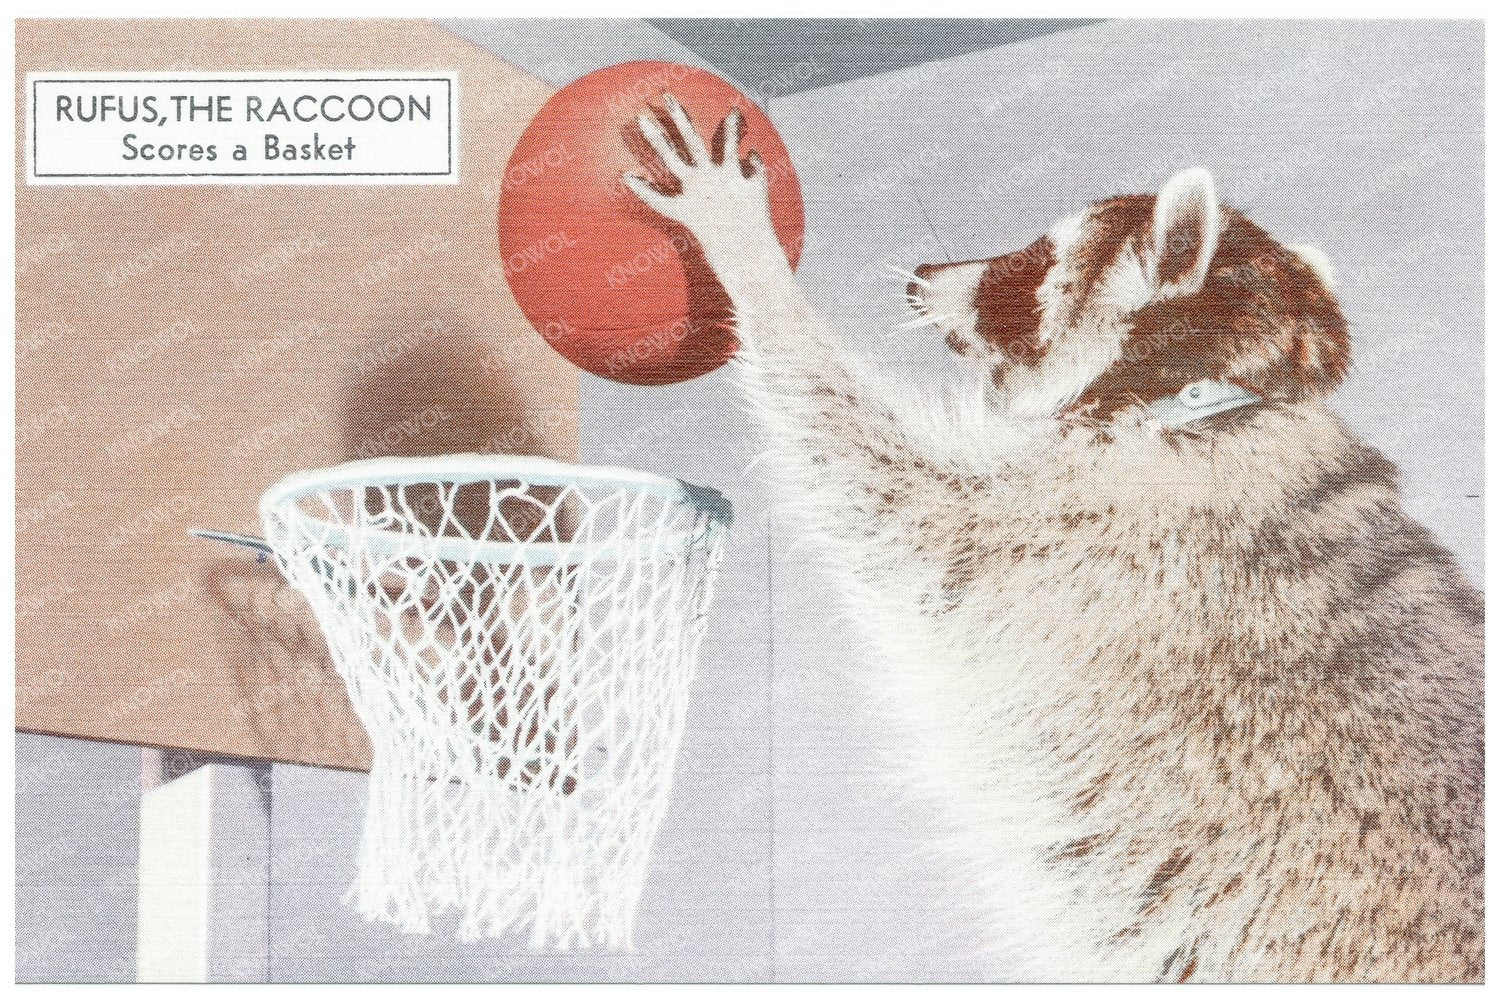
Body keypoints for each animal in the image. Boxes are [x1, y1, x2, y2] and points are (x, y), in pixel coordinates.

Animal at [623, 97, 1482, 983]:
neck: (1206, 392)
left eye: (1036, 260)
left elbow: (889, 496)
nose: (921, 276)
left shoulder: (1116, 528)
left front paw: (748, 259)